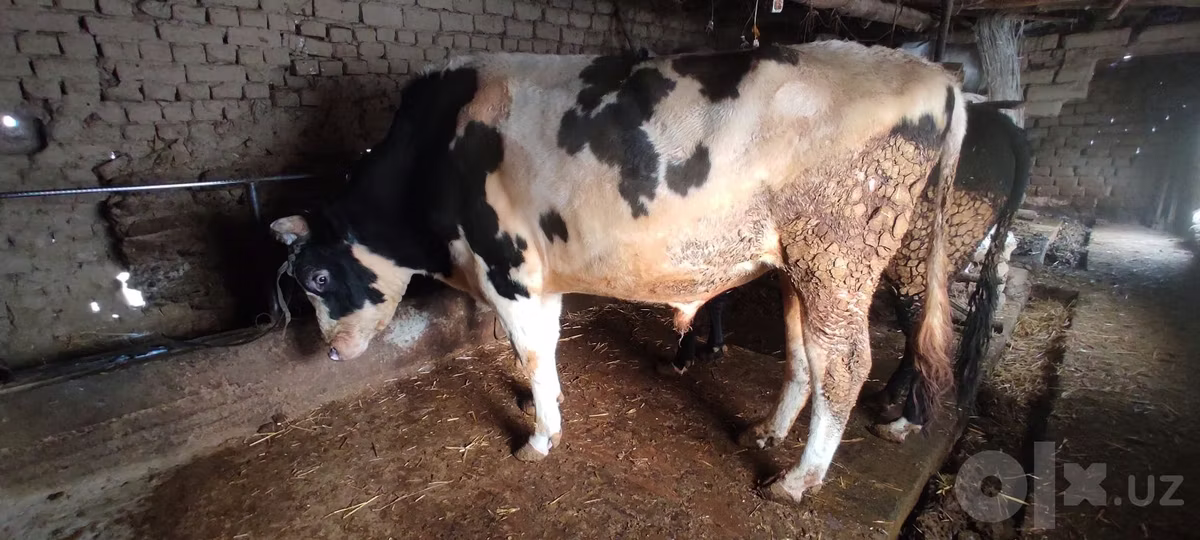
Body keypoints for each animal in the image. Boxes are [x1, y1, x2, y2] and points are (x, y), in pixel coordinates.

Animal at [269, 41, 967, 504]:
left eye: (317, 279)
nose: (332, 353)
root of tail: (934, 73)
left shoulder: (509, 270)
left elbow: (528, 352)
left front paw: (539, 437)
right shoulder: (542, 277)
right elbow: (547, 349)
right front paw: (547, 402)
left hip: (839, 261)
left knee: (845, 367)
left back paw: (797, 481)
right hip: (802, 268)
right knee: (804, 360)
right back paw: (766, 434)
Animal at [666, 102, 1031, 443]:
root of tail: (1001, 124)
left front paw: (685, 357)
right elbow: (715, 298)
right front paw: (711, 348)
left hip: (917, 260)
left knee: (926, 339)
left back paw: (905, 421)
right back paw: (887, 397)